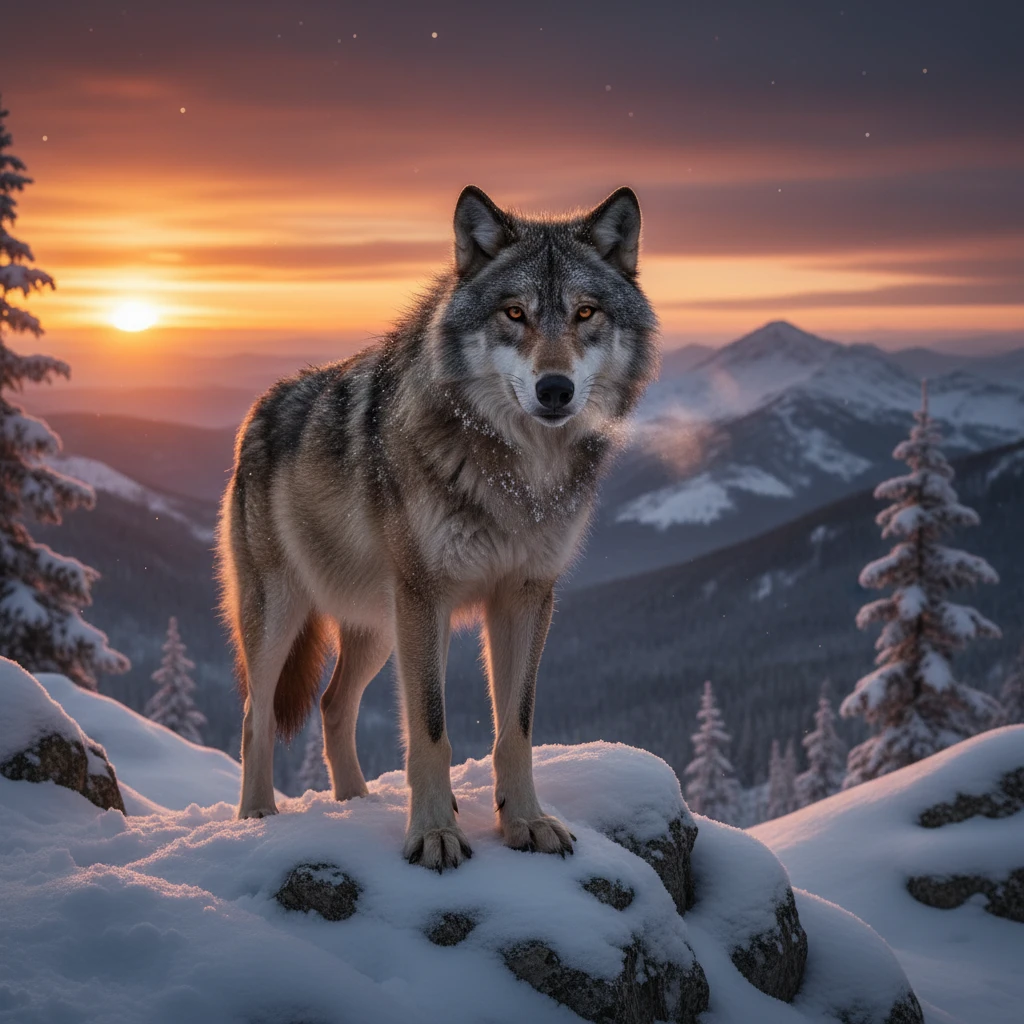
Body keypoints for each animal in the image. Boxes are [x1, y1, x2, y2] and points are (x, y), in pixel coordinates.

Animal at [218, 185, 658, 870]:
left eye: (585, 313)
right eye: (514, 313)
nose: (554, 389)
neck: (519, 476)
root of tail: (257, 412)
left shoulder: (525, 595)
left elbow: (516, 727)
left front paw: (526, 822)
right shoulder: (428, 596)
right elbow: (430, 730)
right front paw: (432, 834)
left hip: (379, 625)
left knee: (333, 705)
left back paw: (356, 803)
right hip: (286, 613)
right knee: (253, 715)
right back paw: (257, 817)